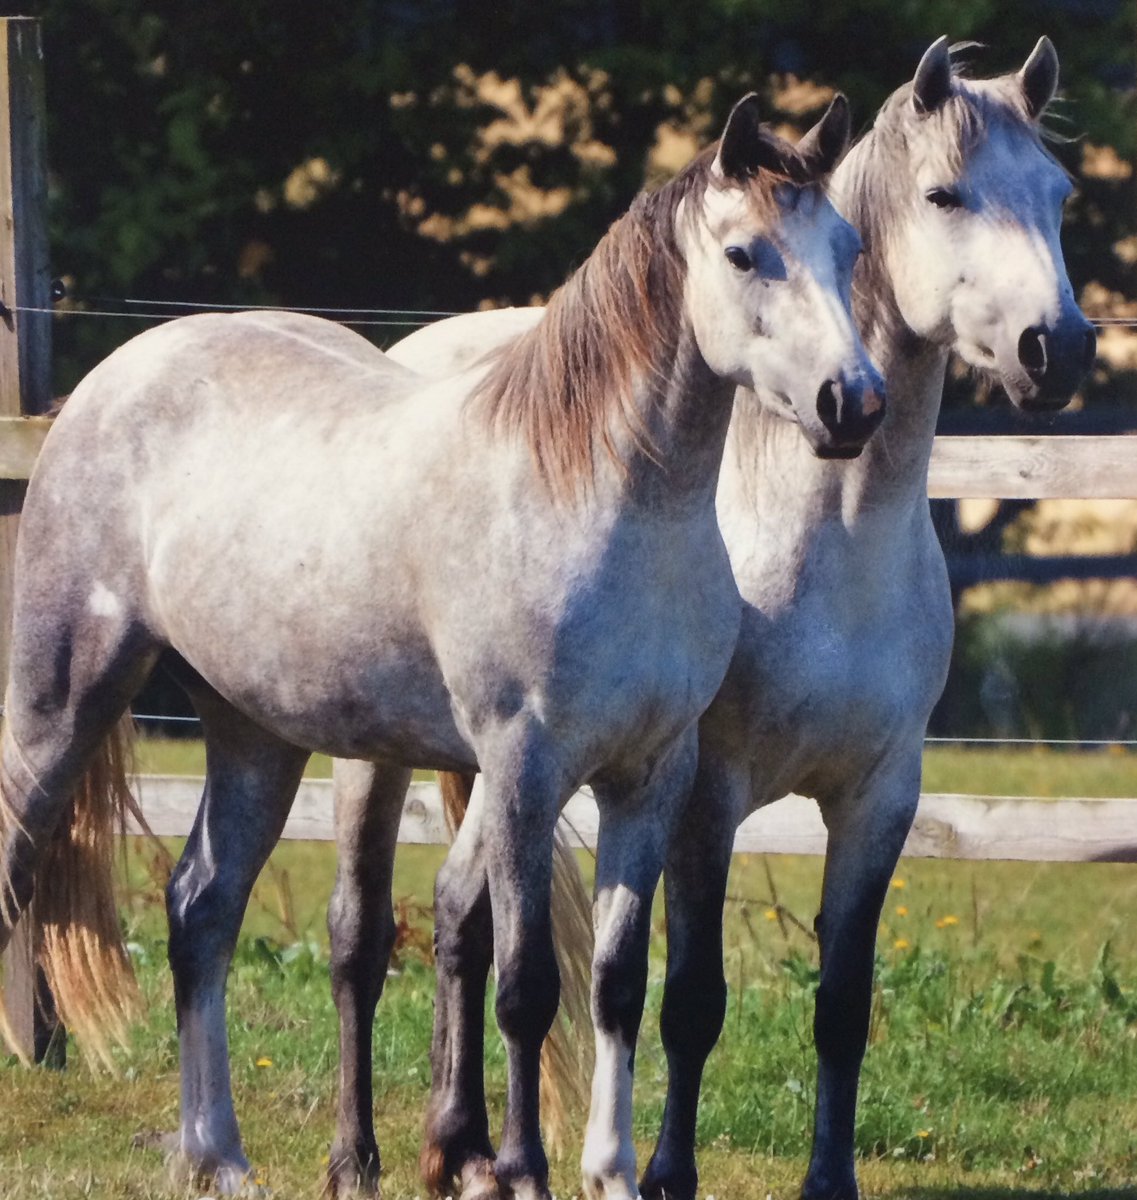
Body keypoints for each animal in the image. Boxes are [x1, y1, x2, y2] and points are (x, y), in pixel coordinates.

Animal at [0, 94, 883, 1199]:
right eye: (743, 253)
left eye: (846, 248)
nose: (853, 402)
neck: (608, 500)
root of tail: (113, 377)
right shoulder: (524, 768)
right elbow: (524, 982)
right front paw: (521, 1170)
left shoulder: (649, 776)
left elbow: (617, 984)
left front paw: (612, 1173)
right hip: (59, 704)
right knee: (21, 868)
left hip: (254, 736)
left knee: (201, 908)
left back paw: (220, 1157)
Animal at [360, 34, 1096, 1200]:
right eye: (945, 194)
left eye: (1060, 195)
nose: (1053, 351)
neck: (829, 542)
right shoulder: (707, 791)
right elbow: (690, 1001)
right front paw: (665, 1172)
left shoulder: (879, 798)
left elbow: (842, 1006)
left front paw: (828, 1180)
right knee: (404, 923)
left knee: (458, 908)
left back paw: (461, 1145)